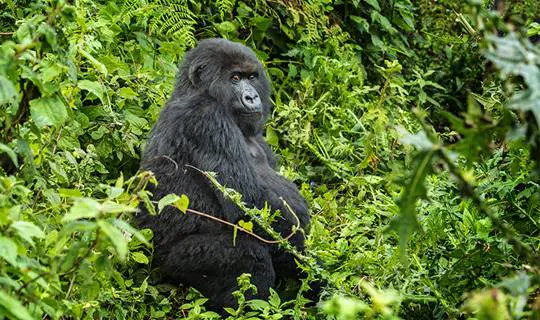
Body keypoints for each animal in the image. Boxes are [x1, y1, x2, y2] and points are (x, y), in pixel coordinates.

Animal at [135, 38, 312, 308]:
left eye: (252, 77)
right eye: (235, 78)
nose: (252, 96)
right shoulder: (206, 118)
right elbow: (248, 206)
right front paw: (309, 267)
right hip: (171, 264)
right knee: (251, 257)